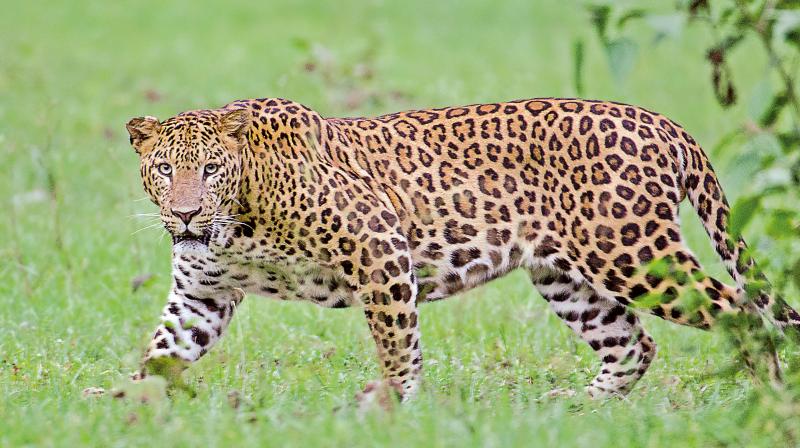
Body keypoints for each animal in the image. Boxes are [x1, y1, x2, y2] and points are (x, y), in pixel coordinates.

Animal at [125, 96, 800, 400]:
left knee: (741, 311)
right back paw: (577, 410)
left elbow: (396, 341)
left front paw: (390, 406)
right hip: (566, 277)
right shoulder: (201, 294)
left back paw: (769, 399)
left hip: (630, 253)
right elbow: (162, 351)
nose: (185, 213)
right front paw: (122, 408)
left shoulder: (379, 244)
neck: (236, 223)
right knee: (633, 343)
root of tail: (663, 122)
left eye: (211, 169)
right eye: (165, 169)